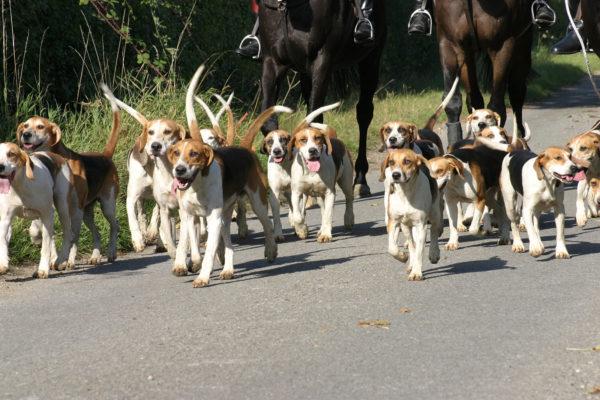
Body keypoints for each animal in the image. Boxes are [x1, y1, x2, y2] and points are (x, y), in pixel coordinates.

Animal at [256, 0, 384, 197]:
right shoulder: (272, 62)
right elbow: (269, 124)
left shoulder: (322, 62)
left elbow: (314, 121)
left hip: (371, 57)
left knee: (364, 113)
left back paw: (361, 180)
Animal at [436, 0, 536, 144]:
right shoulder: (449, 43)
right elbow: (451, 102)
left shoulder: (502, 46)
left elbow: (497, 108)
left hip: (522, 48)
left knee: (516, 93)